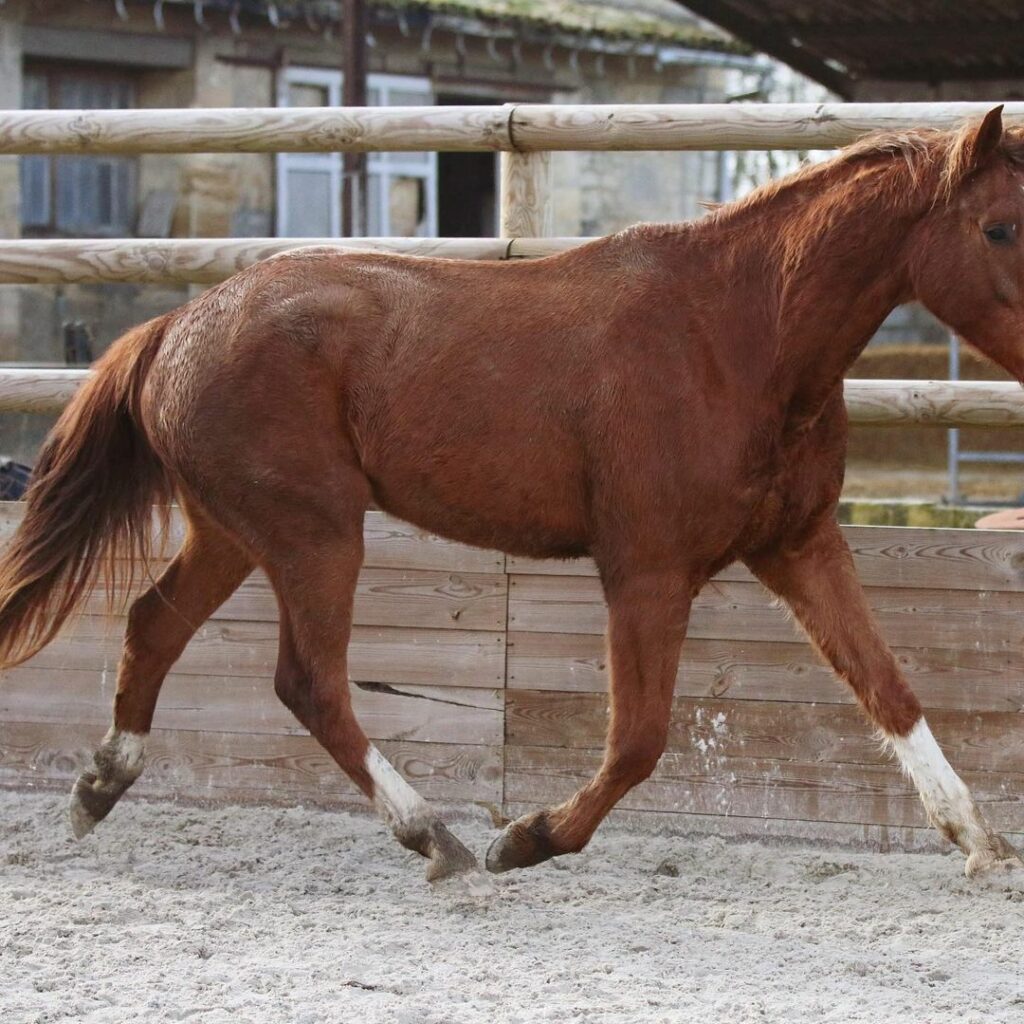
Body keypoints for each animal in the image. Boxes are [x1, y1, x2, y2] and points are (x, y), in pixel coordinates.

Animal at [2, 110, 1024, 880]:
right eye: (1001, 227)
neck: (736, 336)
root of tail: (178, 325)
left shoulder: (800, 544)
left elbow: (891, 690)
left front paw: (978, 841)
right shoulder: (646, 569)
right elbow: (639, 739)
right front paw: (526, 839)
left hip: (232, 531)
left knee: (152, 627)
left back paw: (98, 790)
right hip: (314, 534)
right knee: (309, 683)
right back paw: (439, 839)